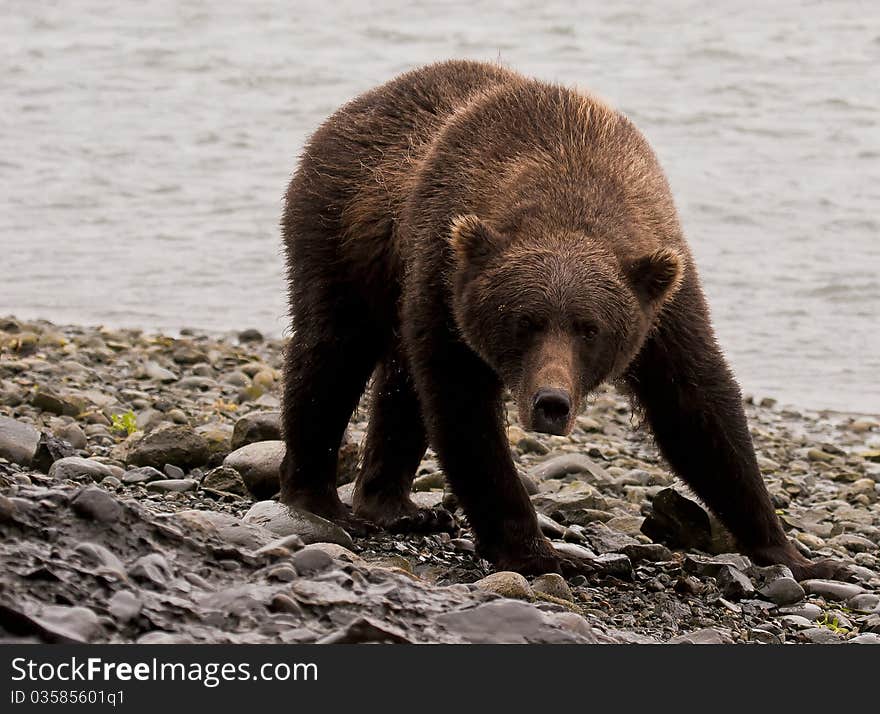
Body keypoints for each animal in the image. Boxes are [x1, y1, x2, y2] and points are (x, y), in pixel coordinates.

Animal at [278, 59, 836, 580]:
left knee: (400, 382)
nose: (551, 402)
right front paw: (541, 553)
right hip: (342, 231)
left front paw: (791, 552)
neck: (568, 179)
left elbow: (697, 404)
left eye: (590, 329)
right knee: (331, 354)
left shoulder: (663, 294)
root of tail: (362, 102)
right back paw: (319, 500)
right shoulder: (444, 275)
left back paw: (396, 506)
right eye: (524, 321)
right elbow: (463, 411)